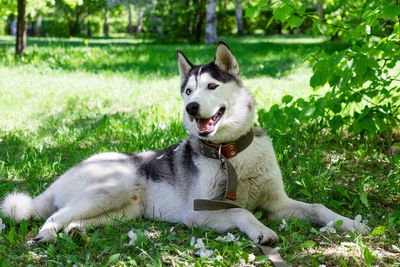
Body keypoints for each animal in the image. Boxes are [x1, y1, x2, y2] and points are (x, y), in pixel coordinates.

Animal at [0, 41, 368, 243]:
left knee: (75, 218)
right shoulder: (200, 213)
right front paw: (260, 232)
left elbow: (318, 208)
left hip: (126, 210)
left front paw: (351, 224)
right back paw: (47, 233)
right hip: (112, 187)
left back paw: (76, 231)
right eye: (188, 90)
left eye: (211, 86)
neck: (229, 153)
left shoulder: (277, 203)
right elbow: (242, 213)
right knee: (54, 215)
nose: (191, 107)